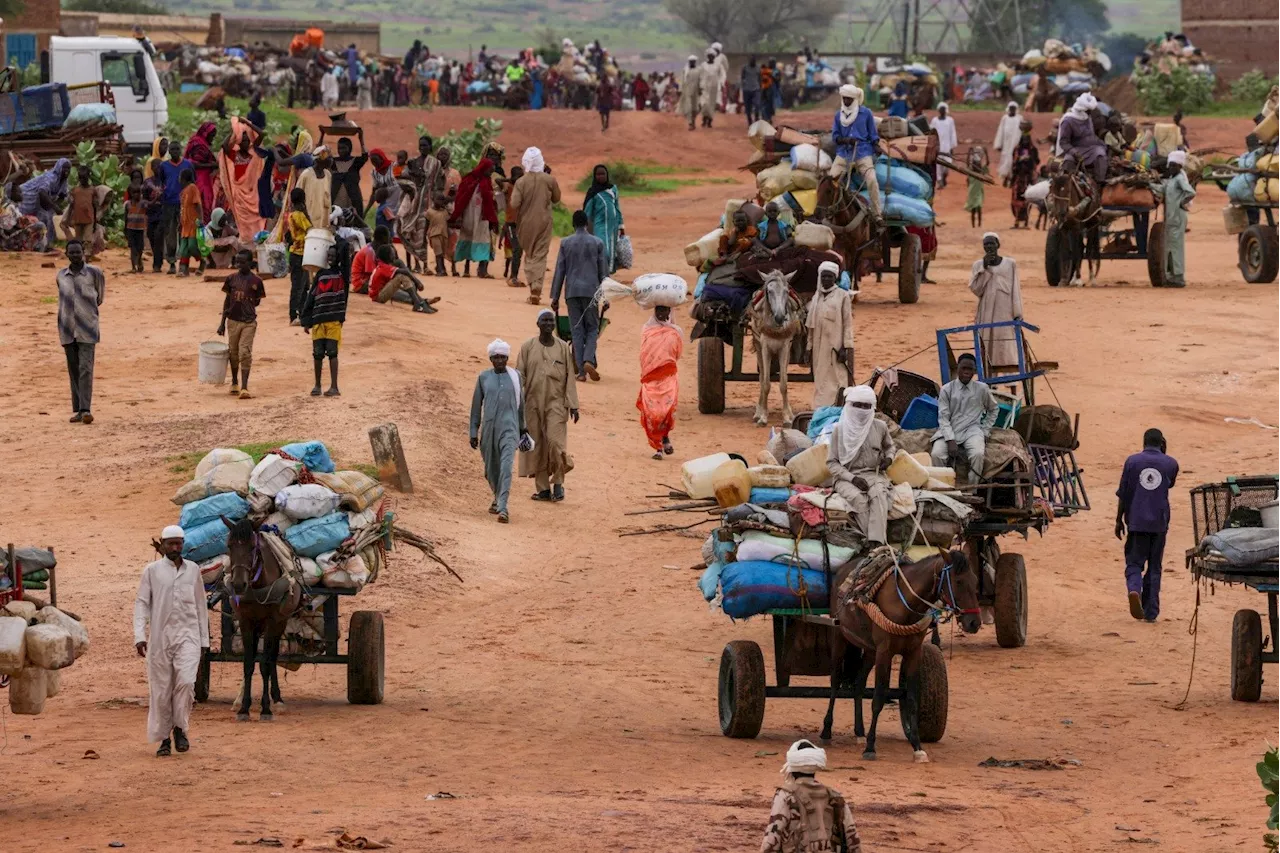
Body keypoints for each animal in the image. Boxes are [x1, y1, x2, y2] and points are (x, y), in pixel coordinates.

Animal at [221, 514, 300, 722]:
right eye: (229, 545)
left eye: (252, 547)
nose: (238, 584)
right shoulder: (245, 621)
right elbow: (249, 663)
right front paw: (243, 709)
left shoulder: (272, 621)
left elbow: (265, 663)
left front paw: (266, 709)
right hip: (258, 626)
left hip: (280, 622)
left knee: (272, 657)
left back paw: (277, 700)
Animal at [829, 548, 977, 758]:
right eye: (958, 582)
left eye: (975, 580)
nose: (974, 623)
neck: (905, 602)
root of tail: (843, 569)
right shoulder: (885, 652)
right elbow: (878, 698)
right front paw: (870, 747)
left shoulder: (913, 652)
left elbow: (912, 699)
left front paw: (917, 747)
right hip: (840, 637)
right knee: (834, 681)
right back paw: (826, 730)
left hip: (870, 651)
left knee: (858, 684)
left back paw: (859, 732)